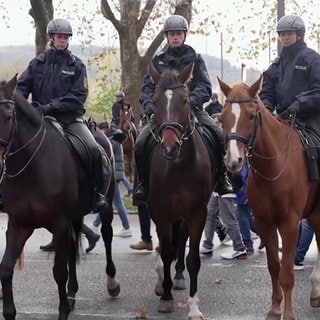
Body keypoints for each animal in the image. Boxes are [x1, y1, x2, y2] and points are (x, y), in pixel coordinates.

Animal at [0, 75, 119, 320]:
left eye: (8, 116)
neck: (32, 166)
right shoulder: (19, 224)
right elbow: (6, 269)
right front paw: (9, 312)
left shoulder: (59, 223)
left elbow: (59, 272)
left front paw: (63, 310)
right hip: (74, 216)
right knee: (74, 247)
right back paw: (72, 293)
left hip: (105, 206)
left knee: (107, 236)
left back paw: (111, 283)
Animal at [146, 63, 214, 318]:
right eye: (155, 101)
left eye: (185, 100)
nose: (170, 146)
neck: (179, 166)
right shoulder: (162, 212)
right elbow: (166, 251)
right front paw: (165, 297)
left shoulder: (198, 212)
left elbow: (193, 257)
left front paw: (194, 307)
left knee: (181, 238)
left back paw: (178, 275)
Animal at [219, 75, 320, 320]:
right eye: (222, 117)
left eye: (251, 115)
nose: (233, 161)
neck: (275, 166)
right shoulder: (264, 223)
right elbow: (274, 267)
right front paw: (275, 308)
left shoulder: (290, 224)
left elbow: (287, 272)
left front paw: (289, 314)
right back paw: (315, 290)